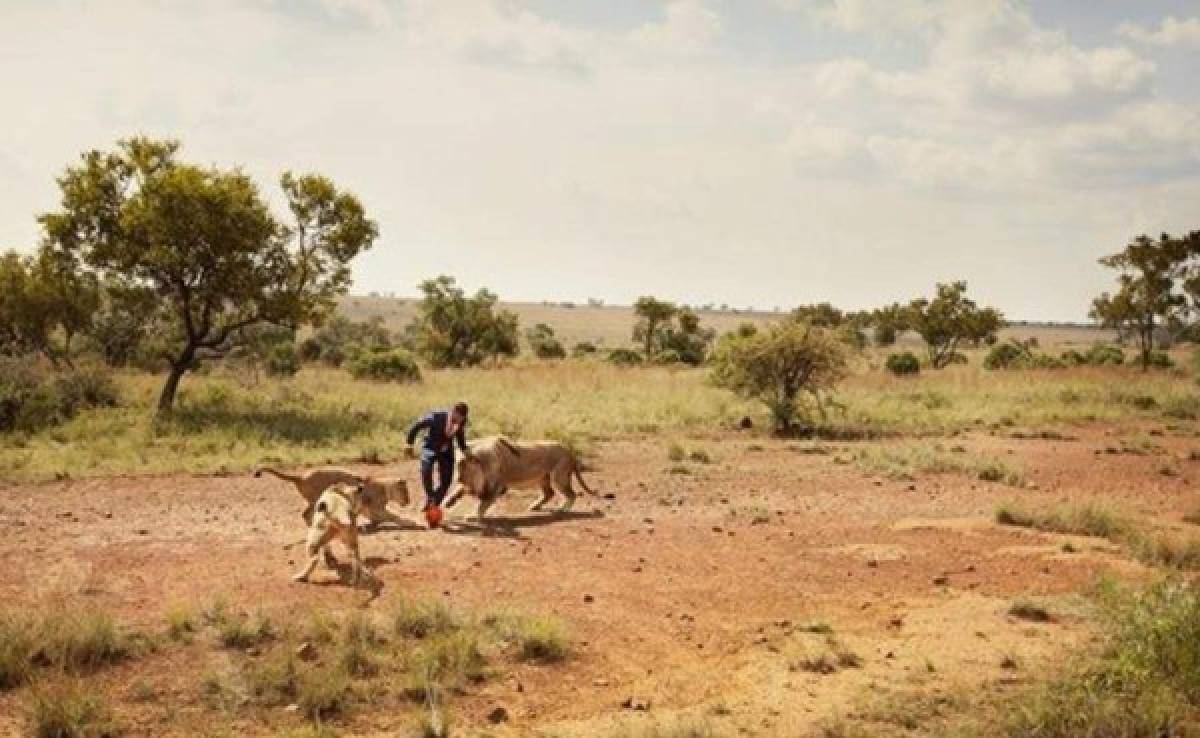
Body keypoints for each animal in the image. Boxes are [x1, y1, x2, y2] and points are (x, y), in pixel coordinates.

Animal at [255, 468, 410, 530]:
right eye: (406, 492)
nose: (408, 501)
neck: (385, 487)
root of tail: (302, 477)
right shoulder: (376, 508)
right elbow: (394, 516)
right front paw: (411, 522)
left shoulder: (369, 510)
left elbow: (377, 520)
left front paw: (367, 526)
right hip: (317, 499)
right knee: (306, 514)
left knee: (305, 514)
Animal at [444, 436, 597, 523]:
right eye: (456, 464)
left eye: (463, 466)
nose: (458, 478)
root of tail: (569, 451)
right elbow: (458, 491)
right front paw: (448, 502)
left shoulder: (496, 487)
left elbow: (482, 505)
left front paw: (472, 516)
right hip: (543, 478)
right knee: (549, 493)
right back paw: (535, 506)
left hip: (557, 477)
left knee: (571, 494)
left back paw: (562, 509)